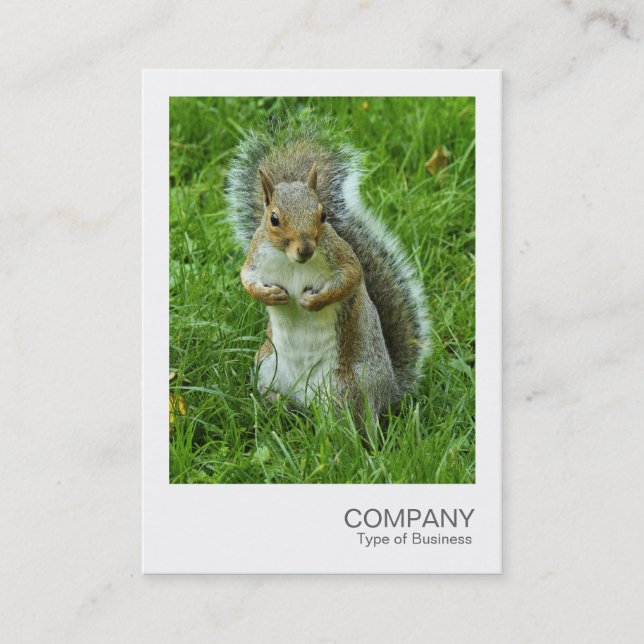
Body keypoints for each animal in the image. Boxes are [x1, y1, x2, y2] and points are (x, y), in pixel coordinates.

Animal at [226, 120, 430, 419]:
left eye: (323, 215)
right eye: (273, 219)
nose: (305, 248)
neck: (292, 261)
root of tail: (389, 391)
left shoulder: (342, 258)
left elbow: (351, 278)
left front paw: (313, 301)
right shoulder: (255, 257)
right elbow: (246, 279)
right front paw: (270, 296)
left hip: (348, 388)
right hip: (266, 366)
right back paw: (274, 408)